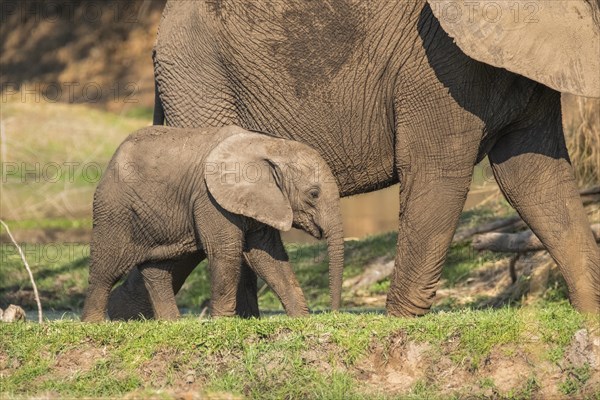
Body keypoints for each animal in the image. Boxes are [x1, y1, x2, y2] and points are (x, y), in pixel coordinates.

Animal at [81, 126, 342, 322]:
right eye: (314, 194)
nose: (334, 314)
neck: (270, 145)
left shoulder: (262, 202)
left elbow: (267, 256)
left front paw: (301, 320)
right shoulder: (210, 199)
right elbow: (226, 252)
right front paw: (223, 323)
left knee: (158, 269)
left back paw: (172, 324)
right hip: (114, 210)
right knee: (105, 269)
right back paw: (93, 325)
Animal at [110, 0, 596, 318]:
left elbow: (535, 178)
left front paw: (590, 318)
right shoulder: (436, 66)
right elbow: (439, 174)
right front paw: (400, 328)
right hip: (200, 78)